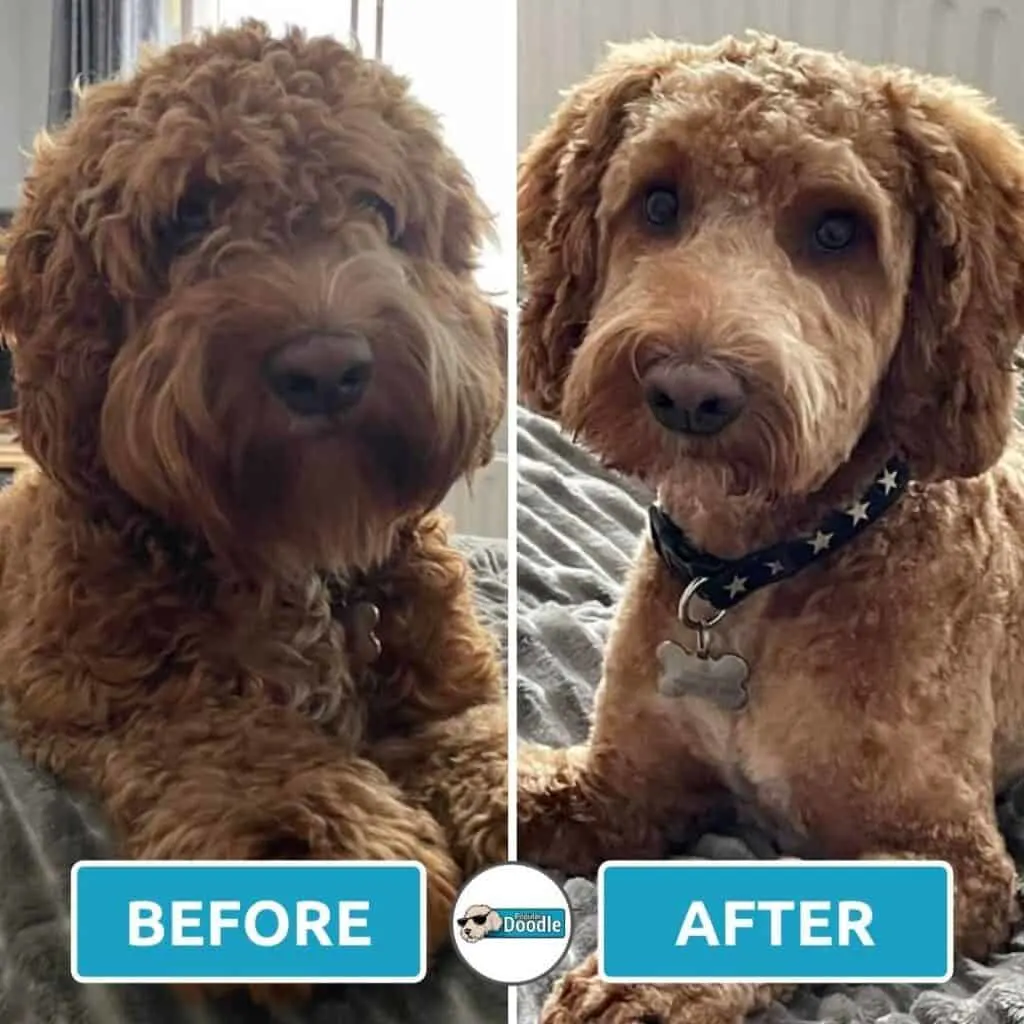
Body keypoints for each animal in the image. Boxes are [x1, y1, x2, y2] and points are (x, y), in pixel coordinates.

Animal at [0, 19, 507, 1003]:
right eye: (189, 215)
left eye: (374, 205)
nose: (327, 368)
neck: (295, 555)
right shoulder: (85, 687)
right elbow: (233, 740)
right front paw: (307, 842)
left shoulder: (447, 687)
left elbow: (482, 739)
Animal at [520, 32, 1024, 1024]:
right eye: (658, 202)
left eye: (837, 230)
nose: (689, 390)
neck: (750, 570)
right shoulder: (620, 788)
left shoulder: (958, 858)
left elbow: (794, 887)